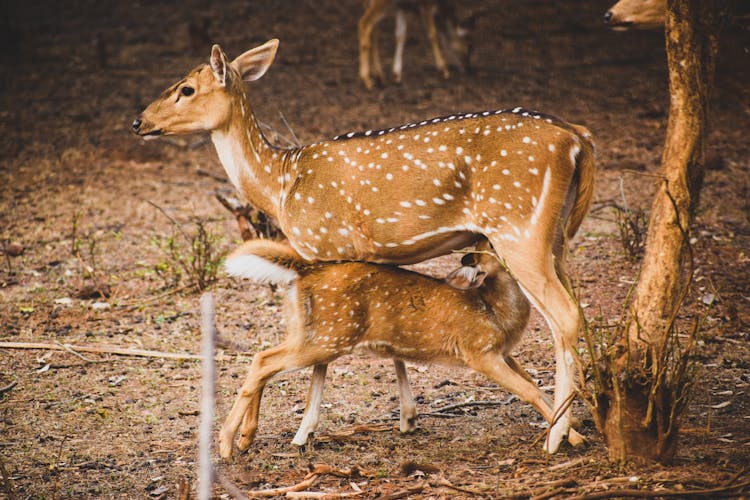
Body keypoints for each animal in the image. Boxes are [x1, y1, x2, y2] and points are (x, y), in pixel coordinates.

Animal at [217, 238, 588, 458]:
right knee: (263, 360)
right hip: (329, 337)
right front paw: (572, 439)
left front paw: (572, 429)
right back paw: (225, 444)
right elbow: (529, 390)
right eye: (490, 246)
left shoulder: (505, 353)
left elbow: (538, 385)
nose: (468, 257)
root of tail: (304, 271)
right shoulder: (479, 352)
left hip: (310, 332)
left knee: (264, 357)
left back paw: (247, 438)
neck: (497, 314)